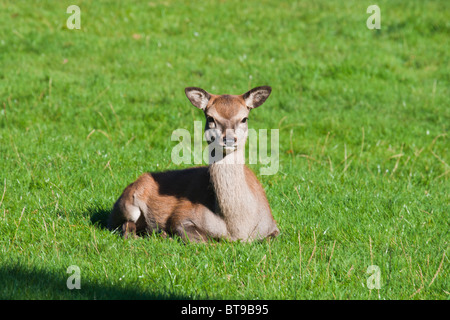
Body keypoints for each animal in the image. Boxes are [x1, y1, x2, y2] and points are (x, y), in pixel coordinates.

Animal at [107, 86, 280, 241]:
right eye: (210, 118)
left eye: (244, 118)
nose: (229, 140)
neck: (239, 229)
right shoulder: (183, 216)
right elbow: (205, 240)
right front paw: (167, 234)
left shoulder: (272, 225)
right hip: (126, 205)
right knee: (126, 228)